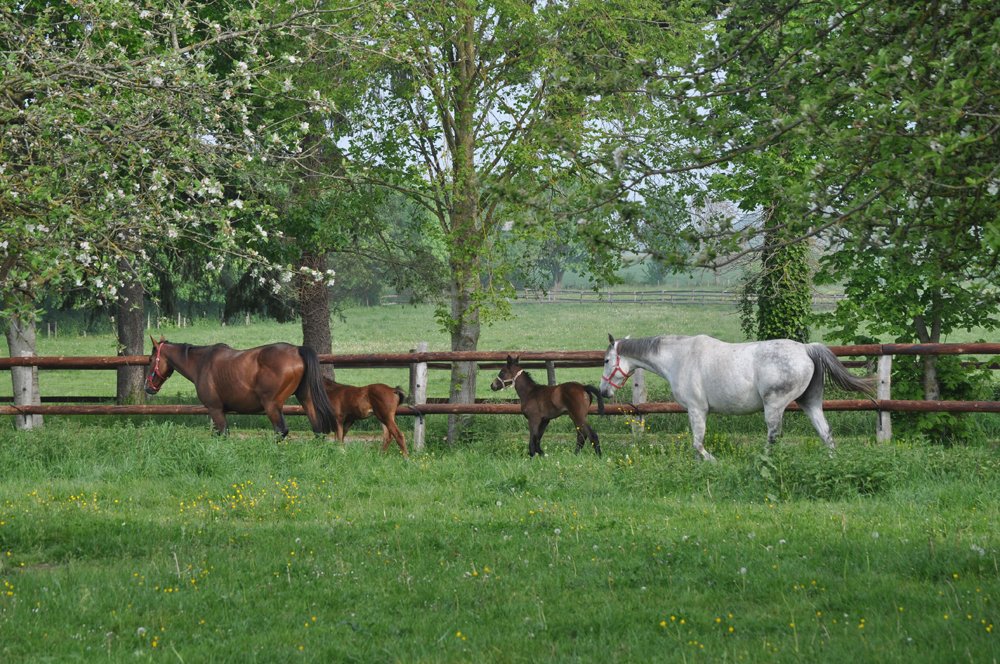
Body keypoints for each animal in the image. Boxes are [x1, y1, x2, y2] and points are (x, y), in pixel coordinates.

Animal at [143, 336, 336, 438]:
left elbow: (223, 434)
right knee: (317, 428)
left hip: (272, 405)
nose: (148, 387)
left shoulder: (215, 410)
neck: (202, 363)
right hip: (305, 399)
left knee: (280, 431)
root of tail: (297, 350)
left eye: (151, 359)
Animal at [600, 334, 875, 461]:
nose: (603, 392)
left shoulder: (696, 409)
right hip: (810, 403)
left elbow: (697, 443)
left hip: (774, 405)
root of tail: (806, 349)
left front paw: (713, 461)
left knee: (774, 435)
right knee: (826, 434)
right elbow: (695, 445)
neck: (680, 357)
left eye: (605, 360)